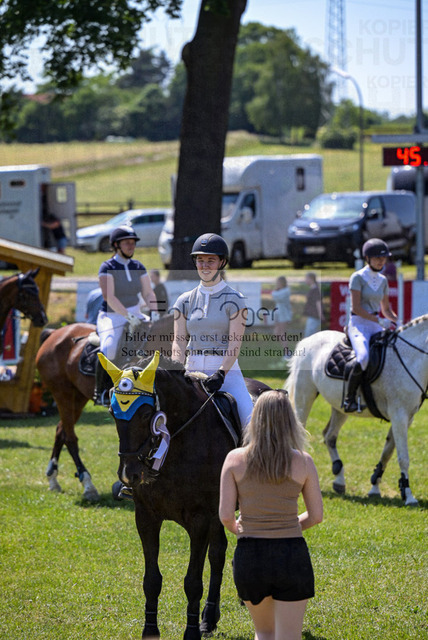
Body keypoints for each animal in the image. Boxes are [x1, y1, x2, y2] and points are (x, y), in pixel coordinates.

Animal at [35, 314, 175, 501]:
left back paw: (53, 479)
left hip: (77, 398)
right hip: (63, 394)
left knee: (60, 431)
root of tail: (54, 333)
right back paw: (88, 485)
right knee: (70, 437)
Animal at [98, 350, 269, 640]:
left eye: (147, 413)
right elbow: (151, 579)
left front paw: (190, 633)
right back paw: (209, 618)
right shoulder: (146, 517)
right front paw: (150, 630)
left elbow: (192, 582)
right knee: (218, 553)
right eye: (112, 412)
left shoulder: (199, 520)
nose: (130, 474)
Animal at [285, 314, 428, 506]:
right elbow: (402, 457)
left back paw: (339, 479)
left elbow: (387, 452)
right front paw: (409, 496)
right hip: (304, 396)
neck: (411, 358)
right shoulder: (399, 415)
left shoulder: (406, 417)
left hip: (339, 407)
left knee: (329, 436)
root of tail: (307, 340)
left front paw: (375, 486)